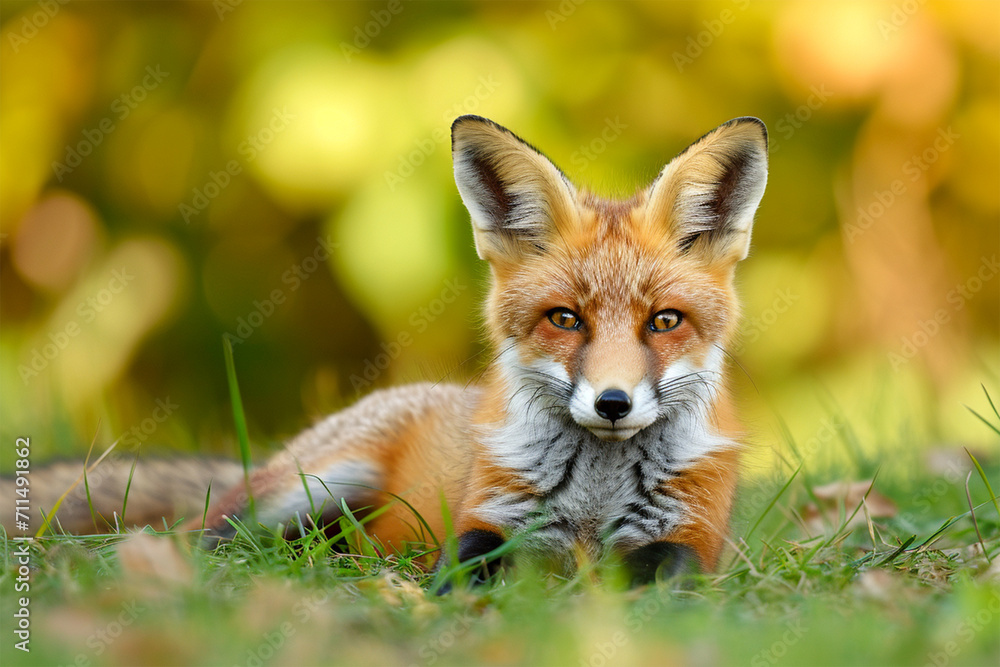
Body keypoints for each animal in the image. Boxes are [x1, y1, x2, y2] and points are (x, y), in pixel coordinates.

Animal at [5, 116, 764, 584]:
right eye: (565, 319)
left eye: (664, 321)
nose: (612, 403)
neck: (593, 502)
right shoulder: (488, 524)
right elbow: (464, 571)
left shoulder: (693, 541)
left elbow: (662, 574)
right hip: (304, 486)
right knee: (193, 535)